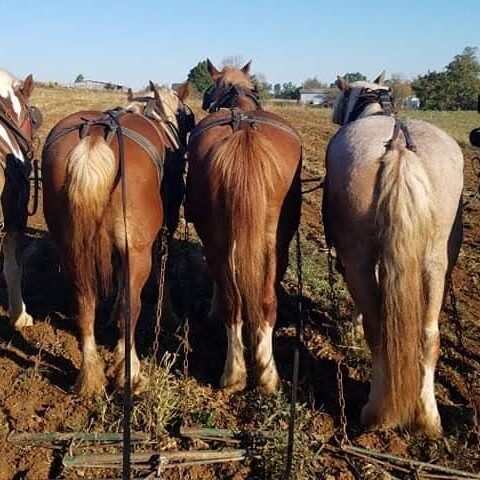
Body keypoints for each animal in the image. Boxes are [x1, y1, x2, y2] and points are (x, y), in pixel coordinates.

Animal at [42, 83, 193, 398]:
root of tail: (94, 139)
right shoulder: (161, 232)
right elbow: (161, 270)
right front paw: (168, 313)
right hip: (137, 252)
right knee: (130, 308)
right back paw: (130, 374)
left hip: (71, 249)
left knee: (84, 305)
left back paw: (90, 375)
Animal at [186, 59, 302, 394]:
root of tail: (244, 132)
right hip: (276, 241)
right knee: (263, 301)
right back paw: (262, 375)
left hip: (216, 238)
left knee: (232, 300)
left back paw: (236, 373)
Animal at [322, 73, 464, 436]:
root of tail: (399, 146)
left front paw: (352, 330)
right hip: (436, 262)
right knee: (429, 337)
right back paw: (427, 418)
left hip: (356, 258)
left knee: (380, 331)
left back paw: (377, 414)